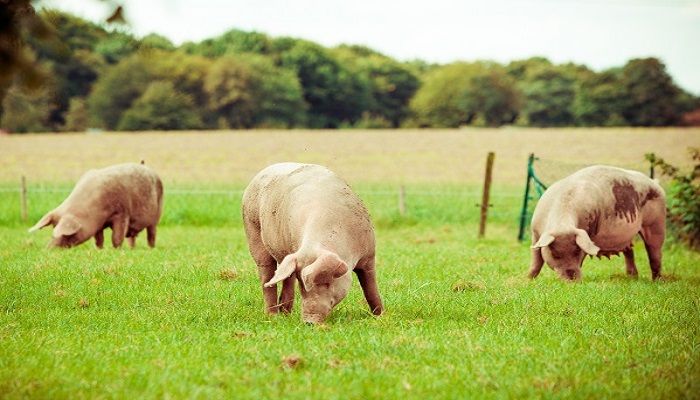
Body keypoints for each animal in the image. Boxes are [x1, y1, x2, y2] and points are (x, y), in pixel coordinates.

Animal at [28, 162, 164, 248]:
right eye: (53, 228)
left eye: (68, 235)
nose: (49, 249)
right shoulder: (98, 224)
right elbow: (98, 239)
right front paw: (99, 249)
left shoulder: (122, 213)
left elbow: (117, 236)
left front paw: (116, 249)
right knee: (132, 237)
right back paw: (132, 249)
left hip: (157, 213)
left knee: (151, 234)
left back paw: (151, 248)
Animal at [241, 162, 382, 324]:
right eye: (302, 285)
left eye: (326, 282)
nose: (309, 322)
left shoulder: (369, 255)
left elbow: (371, 288)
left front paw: (381, 316)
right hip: (252, 230)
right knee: (266, 276)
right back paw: (273, 316)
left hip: (288, 256)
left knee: (286, 277)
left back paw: (286, 314)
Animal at [528, 166, 664, 282]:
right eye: (555, 254)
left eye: (577, 251)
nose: (573, 280)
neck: (562, 224)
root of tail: (655, 183)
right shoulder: (535, 234)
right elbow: (536, 261)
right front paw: (528, 281)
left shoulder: (587, 233)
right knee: (629, 251)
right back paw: (632, 278)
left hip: (656, 223)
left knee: (654, 253)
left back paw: (657, 281)